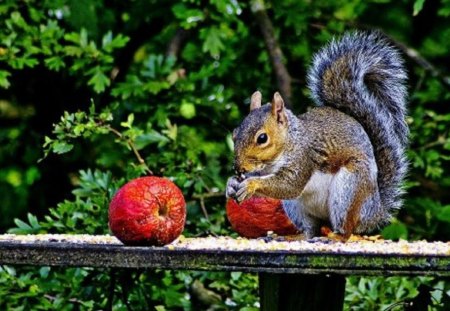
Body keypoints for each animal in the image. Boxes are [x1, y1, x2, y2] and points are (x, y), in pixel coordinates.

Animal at [225, 31, 408, 239]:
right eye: (235, 133)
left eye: (262, 138)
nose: (238, 168)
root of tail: (373, 212)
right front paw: (231, 184)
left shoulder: (304, 158)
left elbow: (289, 185)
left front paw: (250, 185)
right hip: (297, 207)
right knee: (311, 229)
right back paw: (296, 236)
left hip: (349, 190)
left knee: (346, 229)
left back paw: (335, 237)